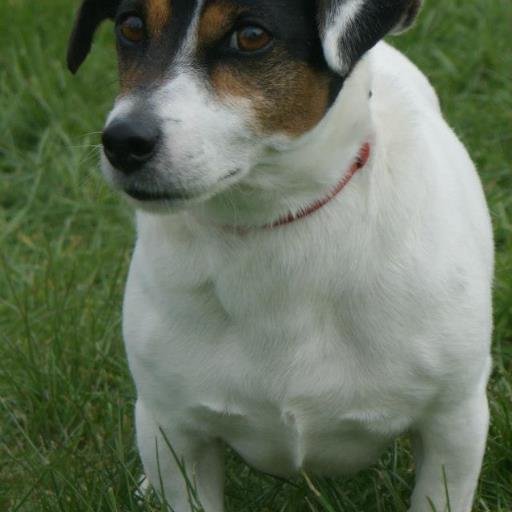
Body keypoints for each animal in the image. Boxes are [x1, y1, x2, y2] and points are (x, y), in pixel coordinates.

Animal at [67, 2, 492, 510]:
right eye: (130, 27)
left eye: (251, 36)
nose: (123, 141)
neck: (274, 223)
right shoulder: (177, 433)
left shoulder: (453, 423)